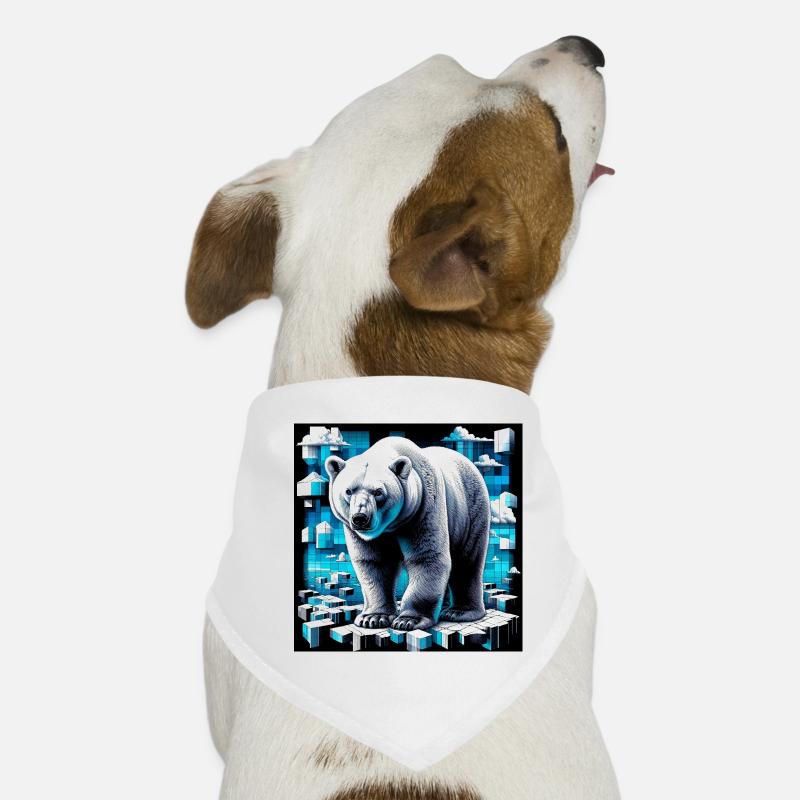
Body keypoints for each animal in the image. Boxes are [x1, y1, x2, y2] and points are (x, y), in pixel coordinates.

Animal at [324, 436, 490, 632]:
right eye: (348, 491)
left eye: (378, 492)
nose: (360, 518)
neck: (391, 525)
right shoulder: (360, 534)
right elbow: (374, 563)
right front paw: (373, 617)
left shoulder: (424, 508)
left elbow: (426, 558)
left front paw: (408, 620)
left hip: (470, 508)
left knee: (467, 559)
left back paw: (459, 611)